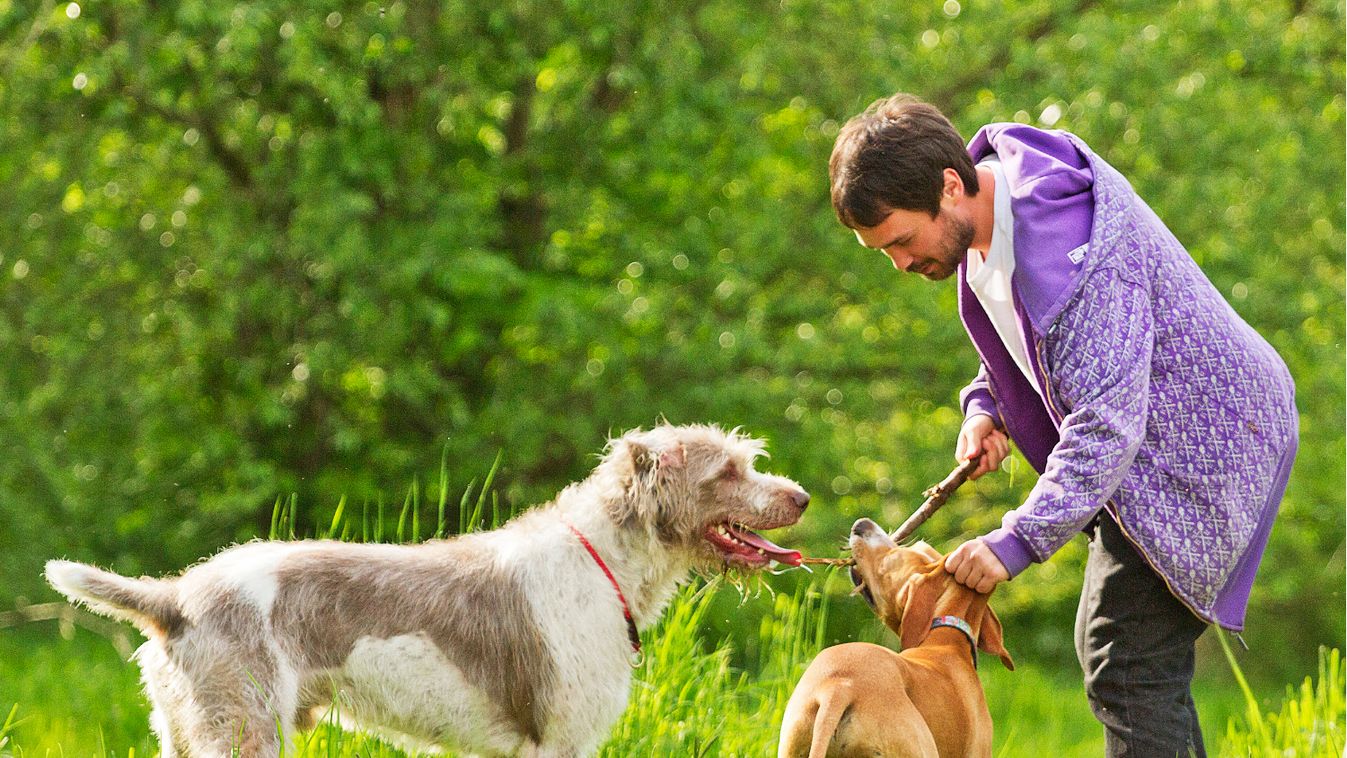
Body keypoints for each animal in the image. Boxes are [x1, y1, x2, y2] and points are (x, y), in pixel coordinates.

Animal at [47, 428, 808, 758]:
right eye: (726, 471)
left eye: (748, 462)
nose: (801, 497)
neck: (603, 562)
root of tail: (176, 597)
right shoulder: (560, 743)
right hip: (244, 734)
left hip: (186, 732)